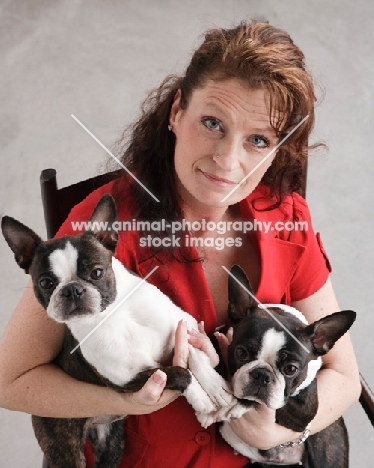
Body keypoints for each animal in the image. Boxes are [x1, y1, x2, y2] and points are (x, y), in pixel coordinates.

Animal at [1, 196, 238, 468]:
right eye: (46, 283)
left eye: (96, 272)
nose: (72, 289)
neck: (112, 313)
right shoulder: (130, 381)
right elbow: (180, 372)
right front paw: (201, 400)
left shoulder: (183, 326)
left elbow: (194, 356)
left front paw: (215, 388)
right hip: (66, 447)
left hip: (112, 444)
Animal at [219, 266, 356, 466]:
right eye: (241, 353)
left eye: (291, 369)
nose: (262, 375)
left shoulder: (304, 411)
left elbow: (276, 404)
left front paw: (241, 404)